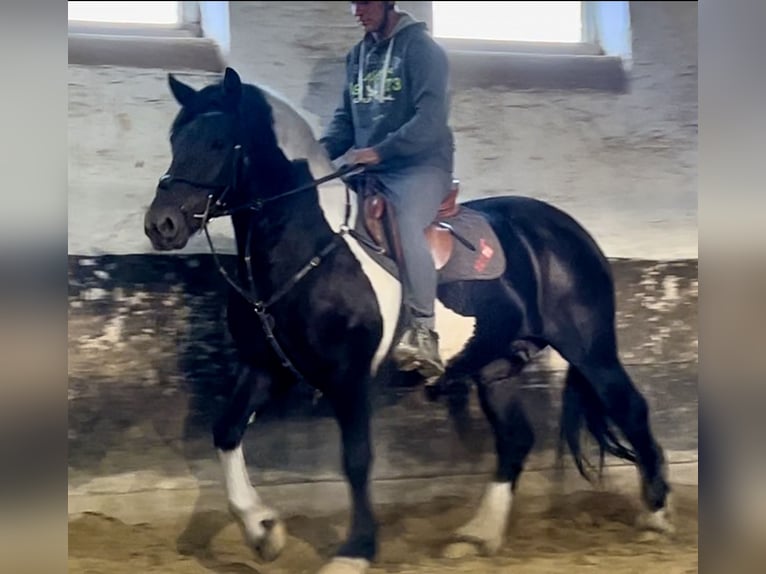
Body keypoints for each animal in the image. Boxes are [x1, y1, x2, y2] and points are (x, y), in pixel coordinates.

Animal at [142, 68, 672, 574]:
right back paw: (477, 535)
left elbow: (356, 460)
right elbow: (226, 432)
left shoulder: (350, 377)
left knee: (630, 409)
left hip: (590, 348)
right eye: (174, 139)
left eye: (217, 142)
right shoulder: (264, 366)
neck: (309, 247)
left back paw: (655, 517)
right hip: (496, 366)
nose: (161, 225)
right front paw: (262, 531)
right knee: (516, 438)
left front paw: (355, 551)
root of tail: (567, 230)